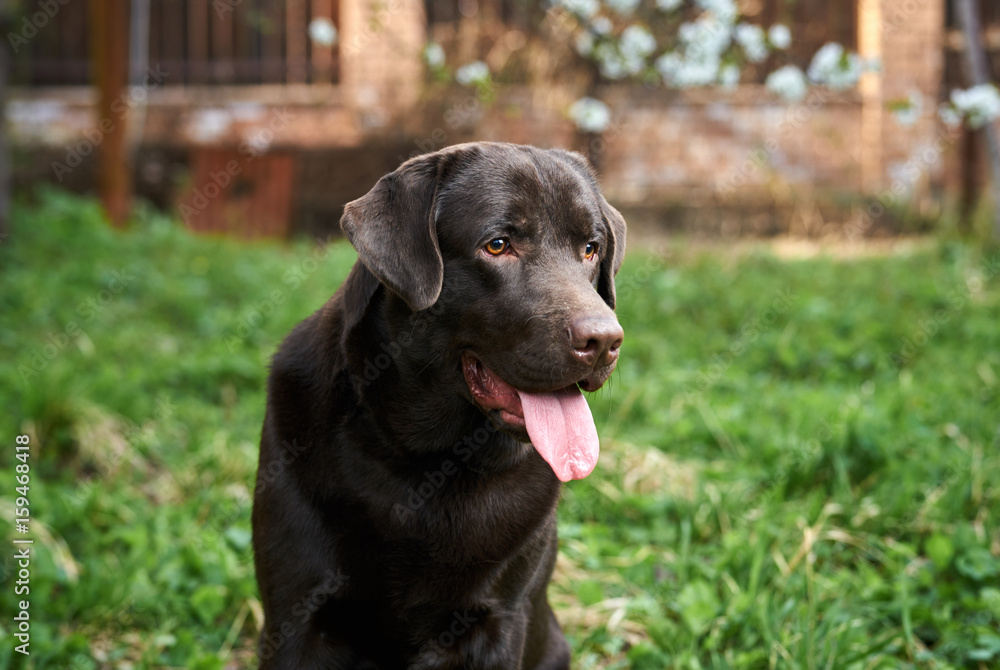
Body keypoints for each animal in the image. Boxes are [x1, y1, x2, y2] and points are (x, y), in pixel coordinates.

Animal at [252, 143, 624, 670]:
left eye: (590, 249)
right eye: (497, 245)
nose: (605, 340)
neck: (427, 462)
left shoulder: (497, 622)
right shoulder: (296, 617)